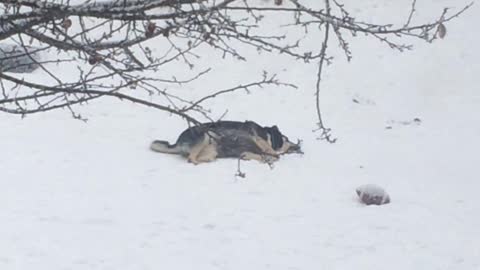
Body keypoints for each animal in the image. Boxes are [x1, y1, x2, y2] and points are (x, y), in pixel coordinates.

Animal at [150, 121, 302, 165]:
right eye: (286, 139)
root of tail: (178, 141)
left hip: (212, 151)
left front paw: (248, 156)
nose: (299, 146)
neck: (268, 135)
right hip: (205, 135)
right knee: (191, 159)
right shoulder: (258, 140)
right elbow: (274, 155)